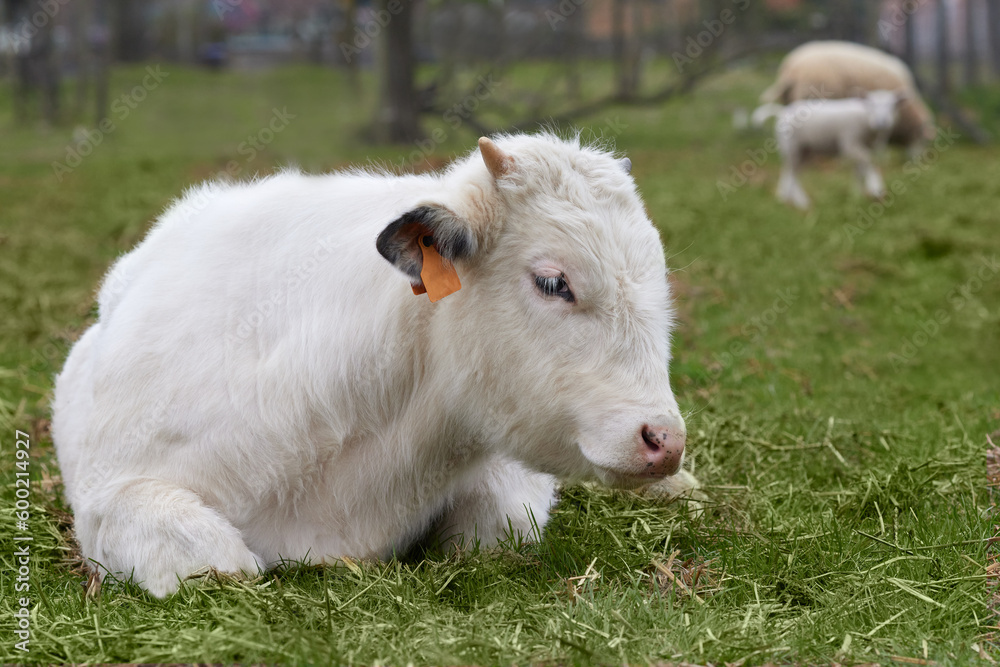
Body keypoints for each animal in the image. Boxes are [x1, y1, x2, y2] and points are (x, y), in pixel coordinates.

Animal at [756, 91, 908, 210]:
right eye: (871, 104)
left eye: (893, 105)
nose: (882, 122)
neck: (865, 118)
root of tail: (782, 111)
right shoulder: (850, 143)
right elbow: (867, 160)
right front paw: (876, 186)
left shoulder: (863, 145)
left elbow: (859, 170)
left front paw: (857, 195)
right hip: (793, 147)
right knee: (792, 173)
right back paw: (800, 203)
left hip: (805, 151)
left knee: (790, 171)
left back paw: (786, 198)